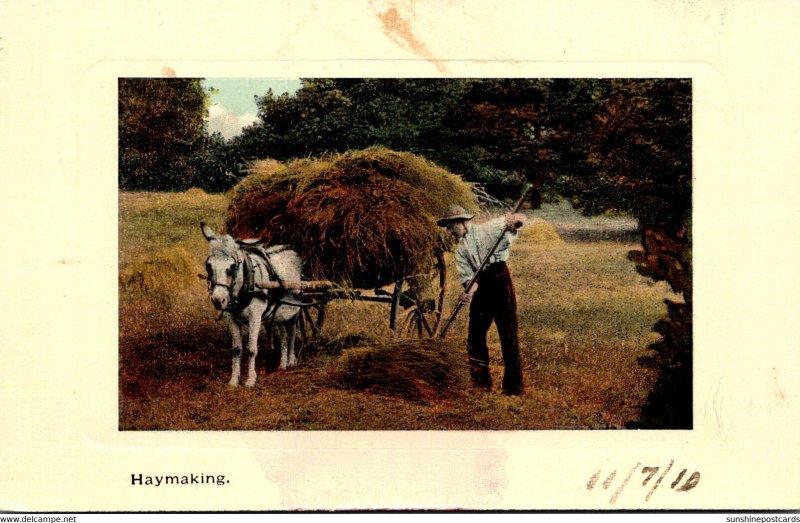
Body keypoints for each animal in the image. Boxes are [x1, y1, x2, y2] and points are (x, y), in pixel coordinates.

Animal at [200, 223, 304, 386]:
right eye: (208, 266)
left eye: (233, 266)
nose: (218, 300)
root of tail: (290, 249)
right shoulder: (232, 319)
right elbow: (236, 349)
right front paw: (234, 380)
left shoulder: (255, 318)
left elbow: (251, 349)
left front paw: (250, 379)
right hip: (279, 312)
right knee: (283, 334)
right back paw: (282, 363)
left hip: (295, 309)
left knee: (292, 332)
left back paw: (291, 361)